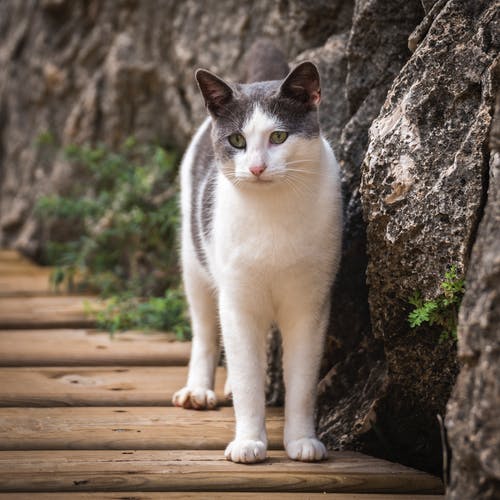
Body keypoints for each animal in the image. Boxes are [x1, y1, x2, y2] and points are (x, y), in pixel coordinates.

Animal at [173, 48, 344, 462]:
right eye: (237, 140)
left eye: (278, 137)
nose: (256, 167)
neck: (273, 214)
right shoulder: (237, 301)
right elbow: (248, 376)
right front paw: (249, 441)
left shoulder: (309, 305)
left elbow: (301, 382)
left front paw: (302, 441)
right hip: (194, 260)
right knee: (205, 330)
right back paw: (199, 390)